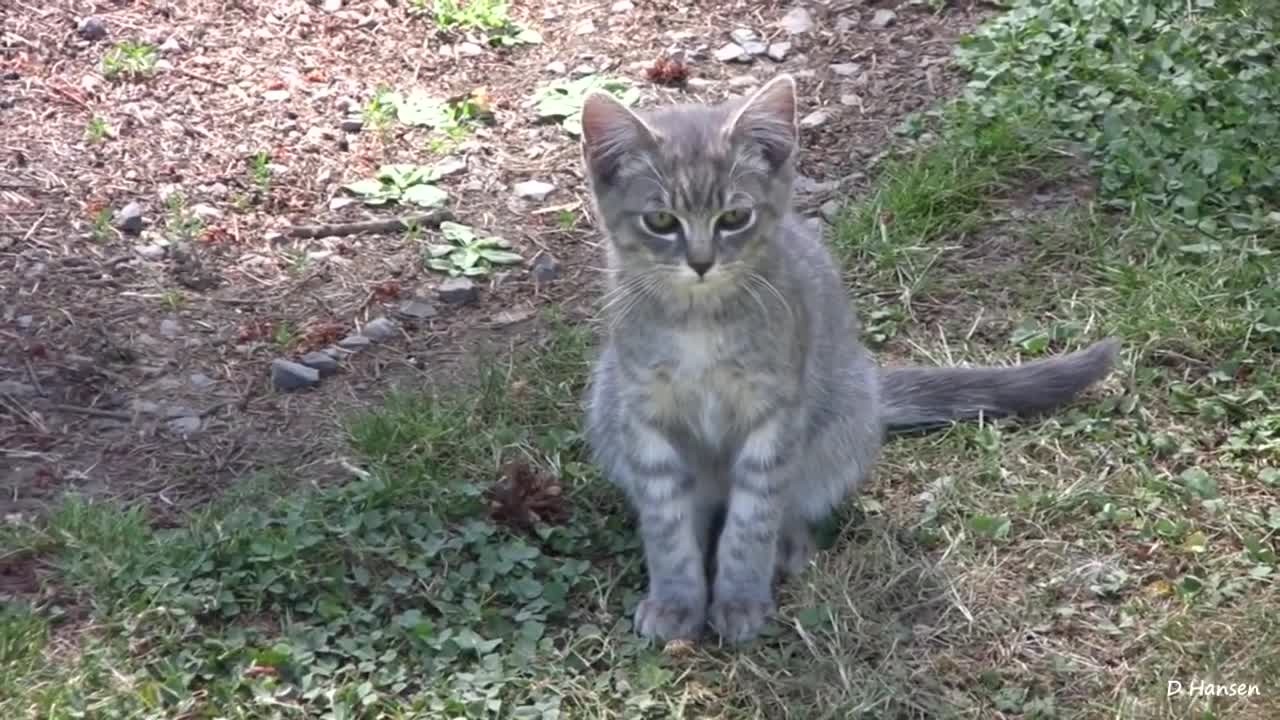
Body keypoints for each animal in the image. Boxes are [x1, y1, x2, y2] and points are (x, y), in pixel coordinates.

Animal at [581, 75, 1121, 640]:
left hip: (842, 420)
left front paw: (740, 597)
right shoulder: (643, 415)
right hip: (605, 403)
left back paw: (788, 546)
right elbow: (667, 525)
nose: (702, 262)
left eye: (735, 217)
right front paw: (676, 600)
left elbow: (753, 520)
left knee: (793, 503)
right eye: (661, 220)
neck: (698, 323)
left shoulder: (775, 415)